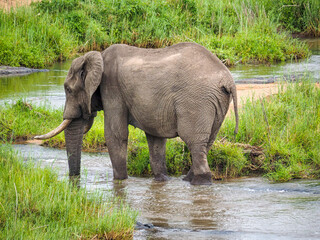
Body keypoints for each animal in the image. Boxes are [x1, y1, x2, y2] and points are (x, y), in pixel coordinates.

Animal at [34, 43, 238, 186]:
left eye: (68, 89)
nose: (74, 180)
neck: (98, 56)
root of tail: (228, 79)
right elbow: (155, 139)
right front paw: (161, 180)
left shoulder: (112, 89)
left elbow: (115, 135)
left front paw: (120, 181)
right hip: (216, 102)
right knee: (207, 142)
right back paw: (186, 180)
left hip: (196, 100)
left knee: (194, 142)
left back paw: (200, 182)